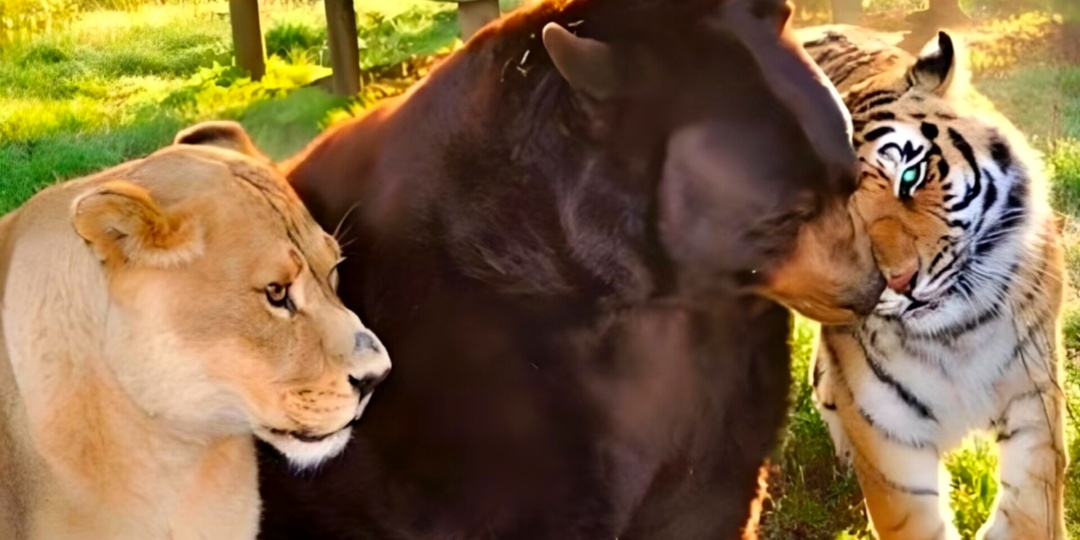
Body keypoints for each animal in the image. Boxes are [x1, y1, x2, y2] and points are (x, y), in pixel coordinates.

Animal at [796, 26, 1068, 540]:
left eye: (911, 174)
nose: (901, 281)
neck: (955, 336)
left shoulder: (1033, 393)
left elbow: (1032, 503)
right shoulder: (886, 430)